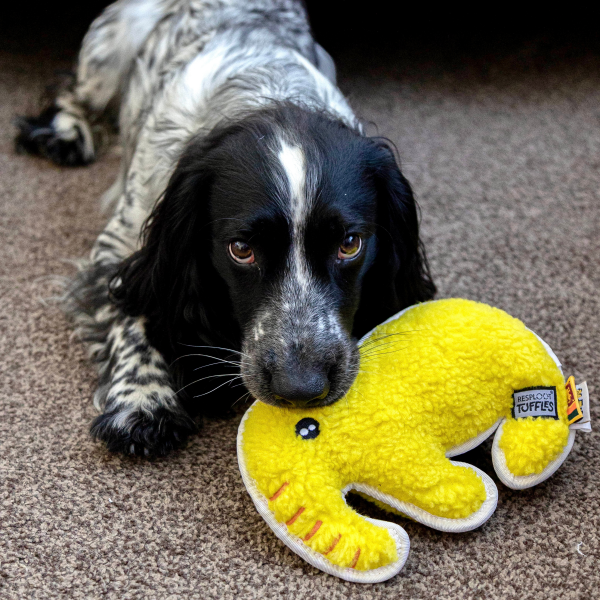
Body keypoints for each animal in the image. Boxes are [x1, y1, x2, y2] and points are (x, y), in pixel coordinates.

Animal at [15, 0, 436, 458]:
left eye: (349, 244)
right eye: (241, 249)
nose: (300, 387)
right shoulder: (120, 245)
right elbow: (131, 310)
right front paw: (143, 400)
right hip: (110, 50)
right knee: (73, 91)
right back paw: (65, 133)